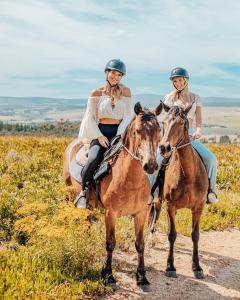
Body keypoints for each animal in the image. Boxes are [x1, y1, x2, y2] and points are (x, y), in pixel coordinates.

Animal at [62, 102, 162, 288]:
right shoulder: (111, 214)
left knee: (87, 220)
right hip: (68, 192)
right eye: (137, 130)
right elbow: (110, 243)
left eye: (159, 130)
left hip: (89, 204)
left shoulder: (141, 213)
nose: (150, 165)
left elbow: (140, 244)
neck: (129, 179)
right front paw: (107, 274)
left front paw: (141, 276)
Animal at [158, 103, 207, 278]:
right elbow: (172, 234)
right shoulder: (170, 206)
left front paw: (197, 266)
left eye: (181, 123)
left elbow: (195, 235)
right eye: (164, 122)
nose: (164, 147)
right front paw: (170, 266)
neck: (189, 175)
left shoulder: (198, 207)